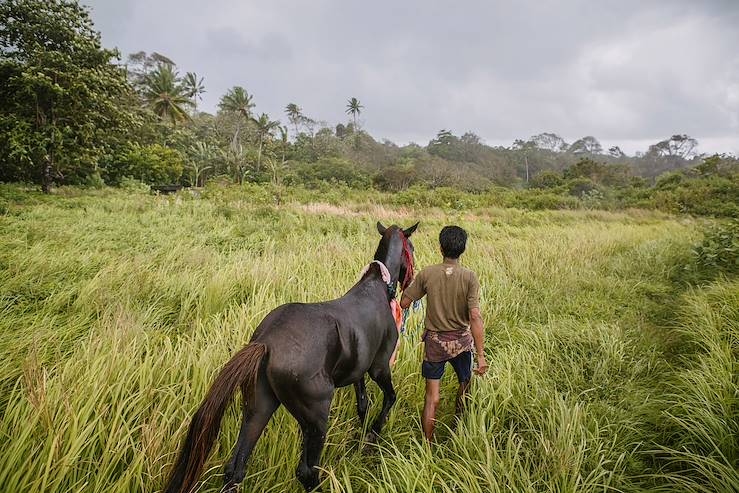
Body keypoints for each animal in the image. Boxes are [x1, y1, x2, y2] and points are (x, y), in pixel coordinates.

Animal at [163, 221, 416, 490]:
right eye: (411, 247)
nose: (411, 279)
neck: (377, 286)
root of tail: (266, 342)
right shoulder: (379, 367)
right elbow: (390, 398)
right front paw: (374, 433)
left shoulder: (359, 369)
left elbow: (363, 404)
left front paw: (364, 433)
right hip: (315, 418)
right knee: (307, 472)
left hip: (259, 407)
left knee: (235, 469)